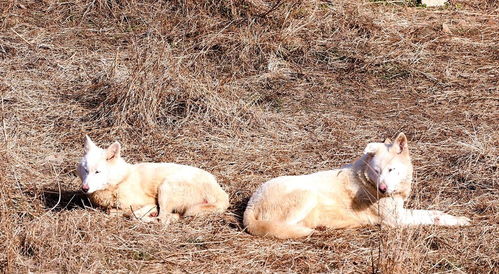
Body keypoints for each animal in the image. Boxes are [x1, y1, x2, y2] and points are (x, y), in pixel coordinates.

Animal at [76, 136, 230, 225]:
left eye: (97, 172)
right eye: (86, 170)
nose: (84, 188)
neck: (119, 181)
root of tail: (221, 193)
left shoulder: (148, 202)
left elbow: (131, 213)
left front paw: (144, 212)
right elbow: (113, 211)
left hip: (165, 187)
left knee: (162, 219)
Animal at [244, 132, 470, 238]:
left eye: (391, 170)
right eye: (377, 171)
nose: (382, 189)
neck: (367, 180)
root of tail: (250, 206)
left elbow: (436, 213)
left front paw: (458, 219)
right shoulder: (395, 220)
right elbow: (432, 217)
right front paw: (456, 221)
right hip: (307, 196)